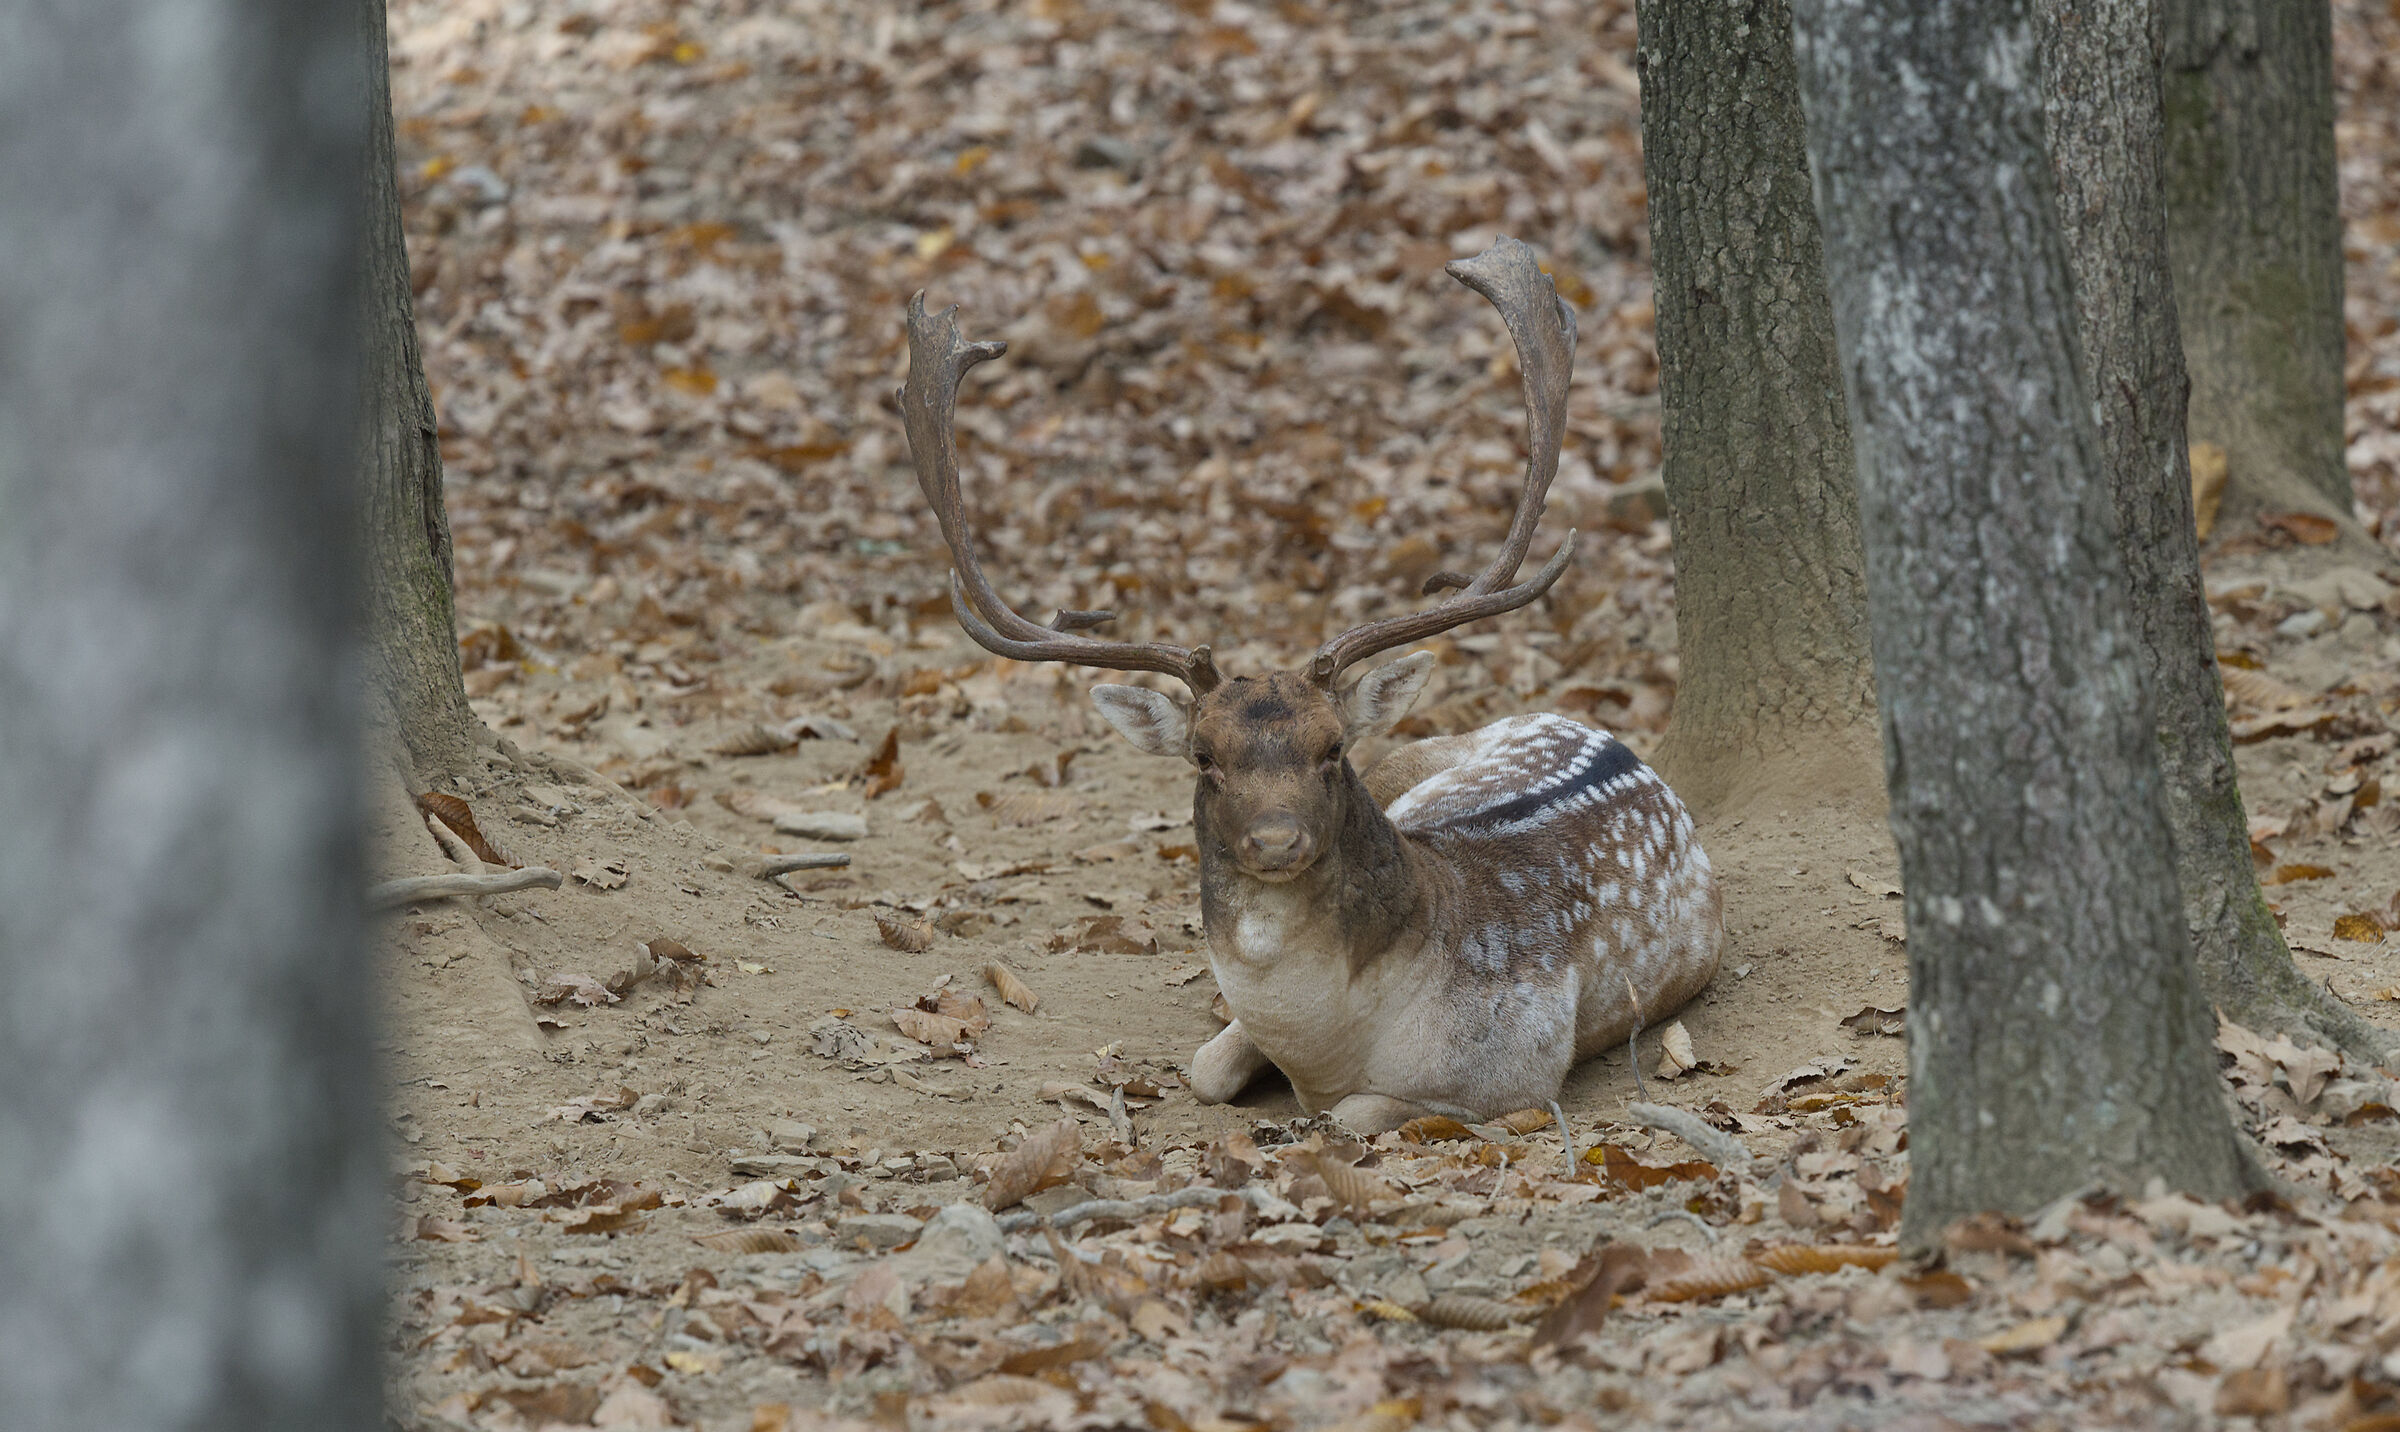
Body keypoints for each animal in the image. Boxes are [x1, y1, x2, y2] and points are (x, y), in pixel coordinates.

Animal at [898, 237, 1722, 1135]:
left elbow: (1346, 1116)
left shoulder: (1515, 1075)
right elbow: (1205, 1069)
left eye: (1331, 747)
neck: (1326, 1045)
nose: (1275, 841)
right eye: (1202, 756)